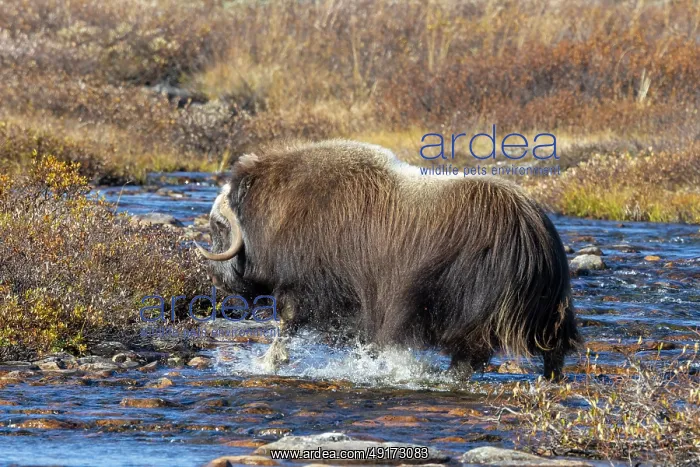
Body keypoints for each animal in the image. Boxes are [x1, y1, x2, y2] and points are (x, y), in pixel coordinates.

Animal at [196, 140, 582, 379]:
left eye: (218, 225)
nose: (214, 278)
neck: (278, 208)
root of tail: (534, 229)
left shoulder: (312, 287)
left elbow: (289, 324)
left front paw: (270, 361)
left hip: (462, 298)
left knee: (470, 351)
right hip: (549, 307)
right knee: (552, 345)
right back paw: (551, 378)